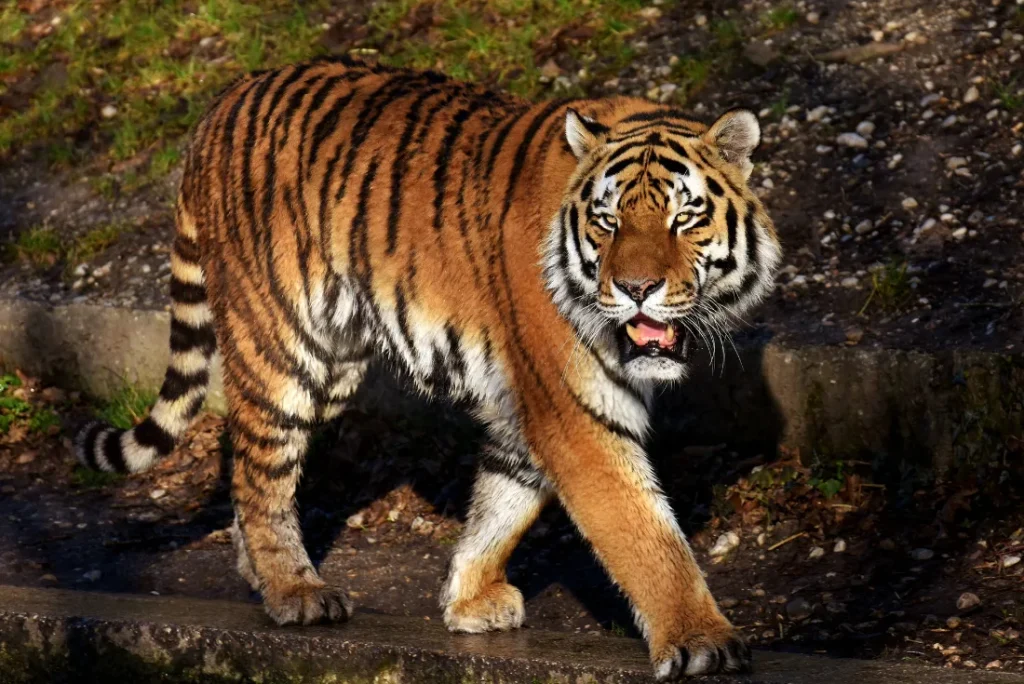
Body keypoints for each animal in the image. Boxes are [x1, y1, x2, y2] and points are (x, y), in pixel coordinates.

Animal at [74, 56, 780, 680]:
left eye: (684, 217)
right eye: (607, 222)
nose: (635, 289)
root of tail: (221, 104)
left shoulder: (527, 406)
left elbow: (503, 502)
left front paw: (468, 600)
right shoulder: (574, 410)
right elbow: (644, 534)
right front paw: (701, 642)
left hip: (335, 364)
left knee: (246, 461)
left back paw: (260, 574)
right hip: (281, 347)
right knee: (262, 470)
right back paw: (295, 592)